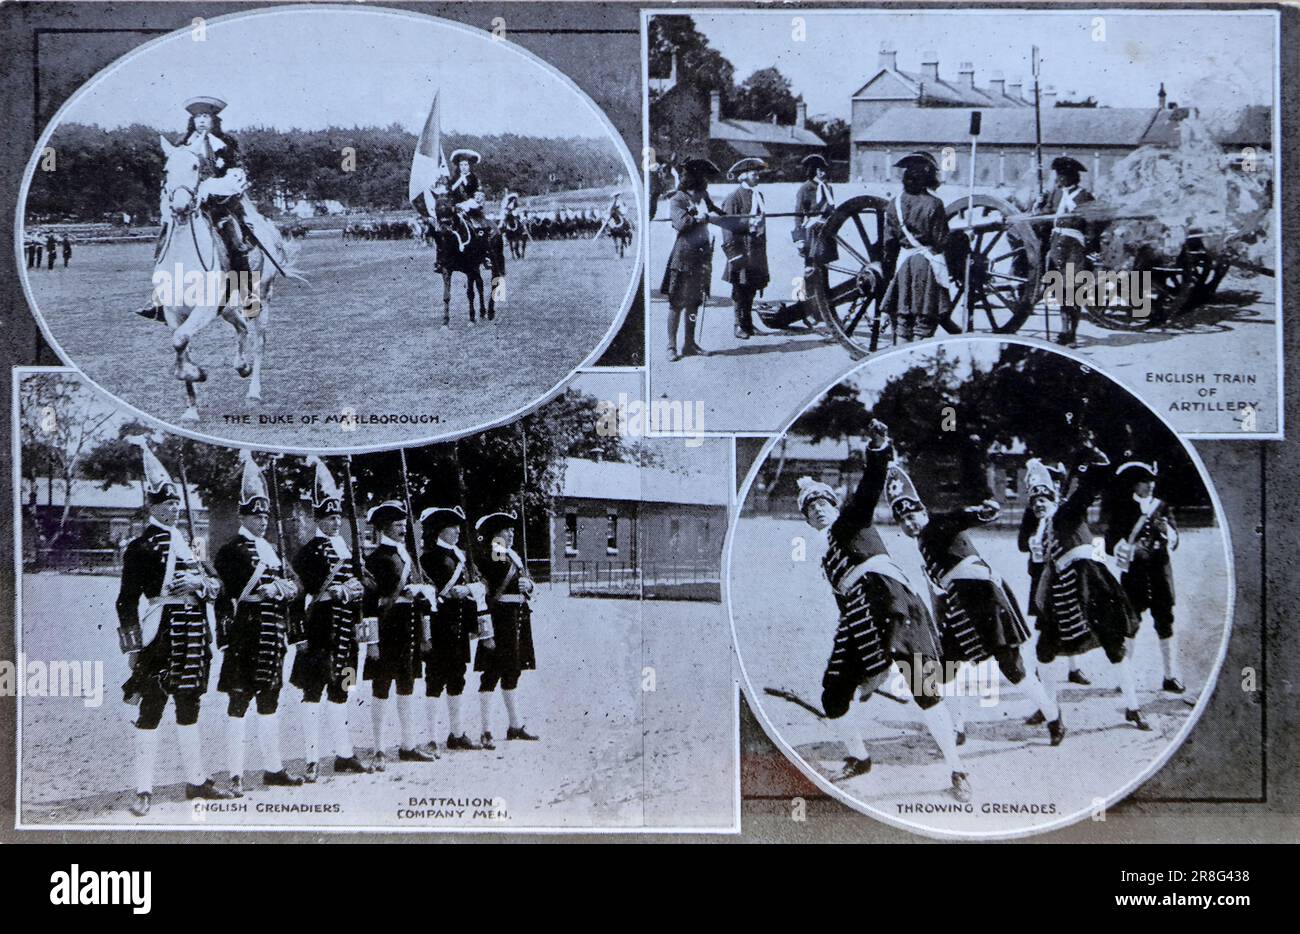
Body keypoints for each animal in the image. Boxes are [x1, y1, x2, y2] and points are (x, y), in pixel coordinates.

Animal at [153, 134, 296, 421]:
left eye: (196, 167)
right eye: (166, 170)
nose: (181, 207)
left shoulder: (205, 308)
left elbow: (180, 341)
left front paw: (198, 373)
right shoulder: (174, 314)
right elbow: (181, 346)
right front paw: (191, 409)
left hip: (260, 300)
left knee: (259, 340)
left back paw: (254, 391)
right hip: (228, 307)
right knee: (241, 327)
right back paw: (242, 366)